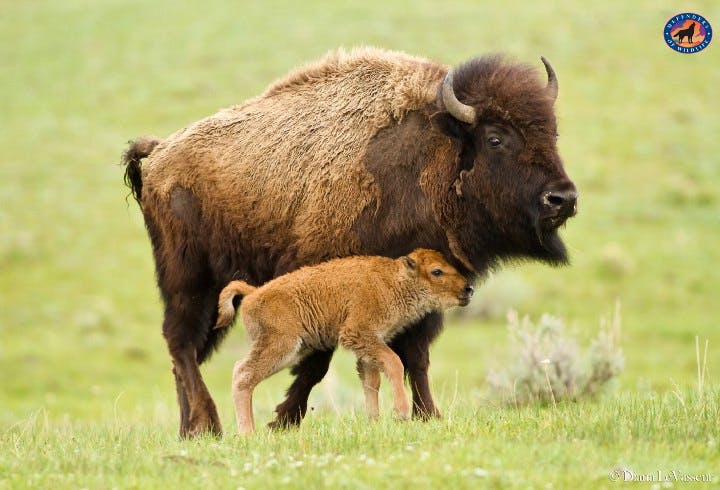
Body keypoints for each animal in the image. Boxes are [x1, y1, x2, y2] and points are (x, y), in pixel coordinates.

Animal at [123, 47, 577, 437]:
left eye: (554, 133)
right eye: (496, 138)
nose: (563, 198)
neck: (434, 150)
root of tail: (159, 153)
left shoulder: (421, 299)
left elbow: (416, 356)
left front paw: (427, 415)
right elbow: (319, 361)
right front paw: (283, 420)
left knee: (187, 355)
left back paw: (190, 429)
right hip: (187, 278)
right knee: (181, 344)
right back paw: (208, 425)